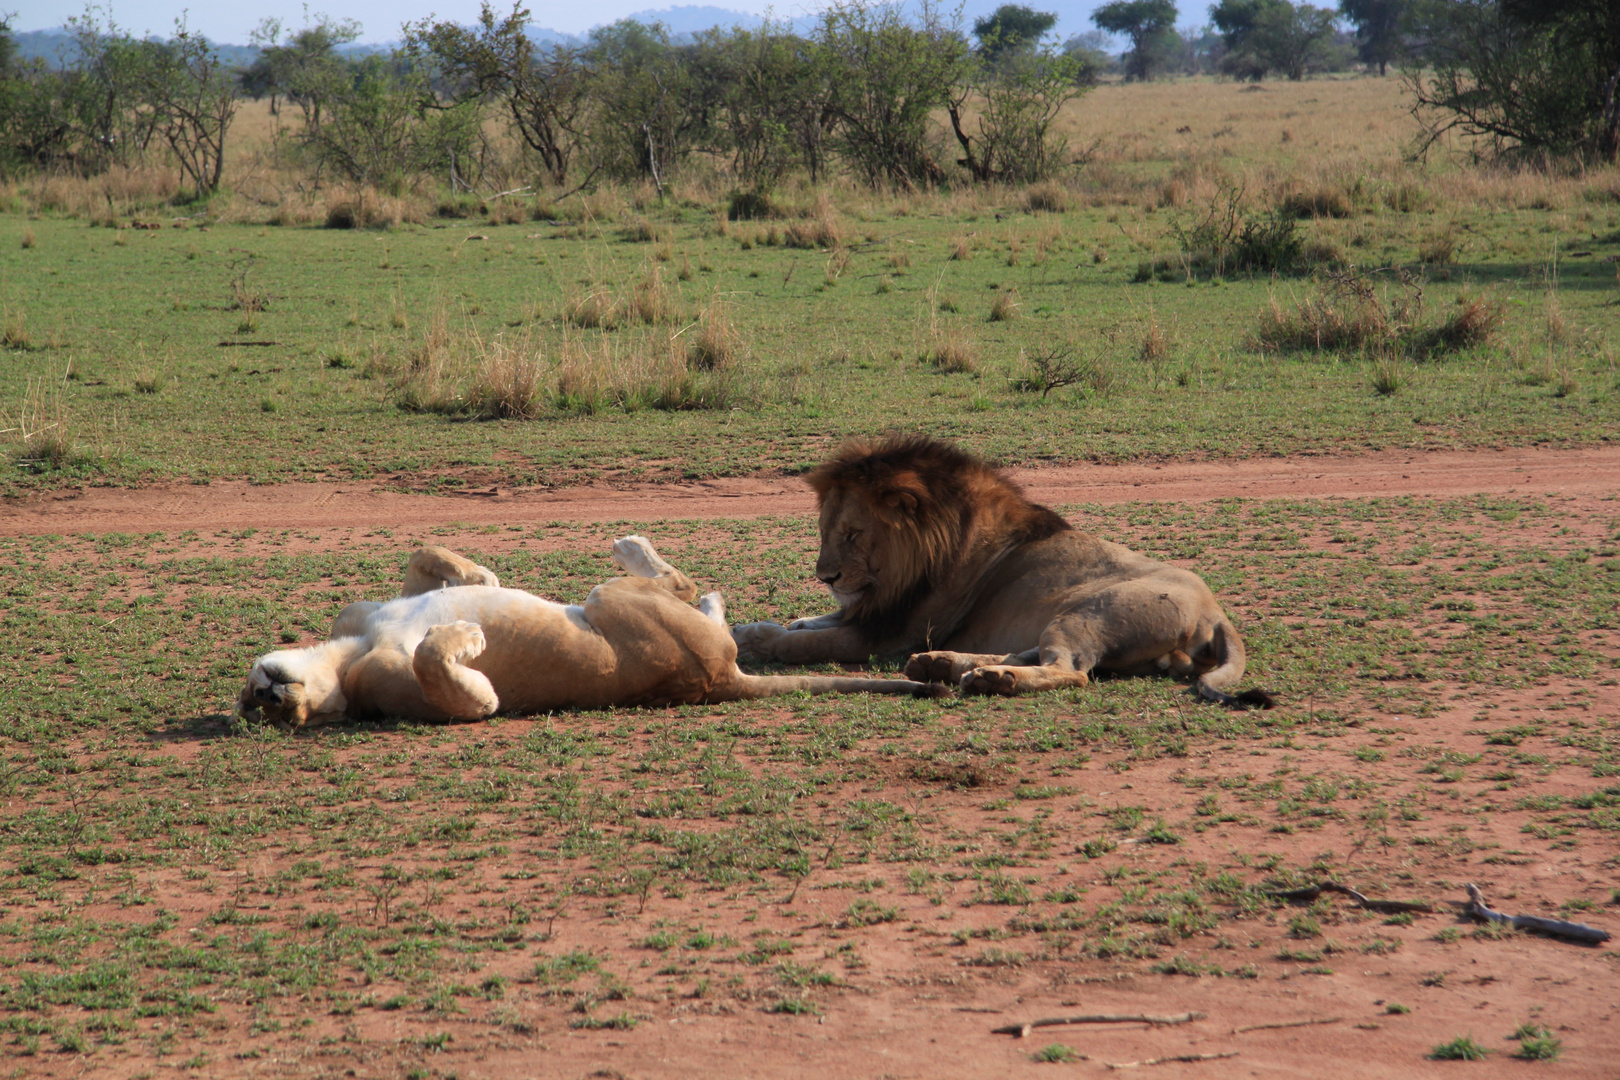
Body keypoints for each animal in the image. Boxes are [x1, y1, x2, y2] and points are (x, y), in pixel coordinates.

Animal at [239, 534, 939, 725]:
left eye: (251, 700)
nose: (270, 696)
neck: (341, 659)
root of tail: (719, 681)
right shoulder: (424, 695)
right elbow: (443, 672)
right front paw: (470, 640)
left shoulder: (365, 613)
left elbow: (426, 560)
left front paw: (476, 576)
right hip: (615, 601)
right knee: (685, 588)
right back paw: (642, 552)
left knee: (700, 597)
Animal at [735, 440, 1276, 709]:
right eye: (825, 530)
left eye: (852, 534)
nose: (824, 576)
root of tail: (1218, 613)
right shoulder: (879, 612)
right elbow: (814, 621)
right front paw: (758, 624)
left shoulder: (888, 632)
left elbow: (806, 643)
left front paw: (755, 639)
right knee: (1032, 652)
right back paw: (944, 665)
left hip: (1084, 613)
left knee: (1070, 671)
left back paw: (994, 679)